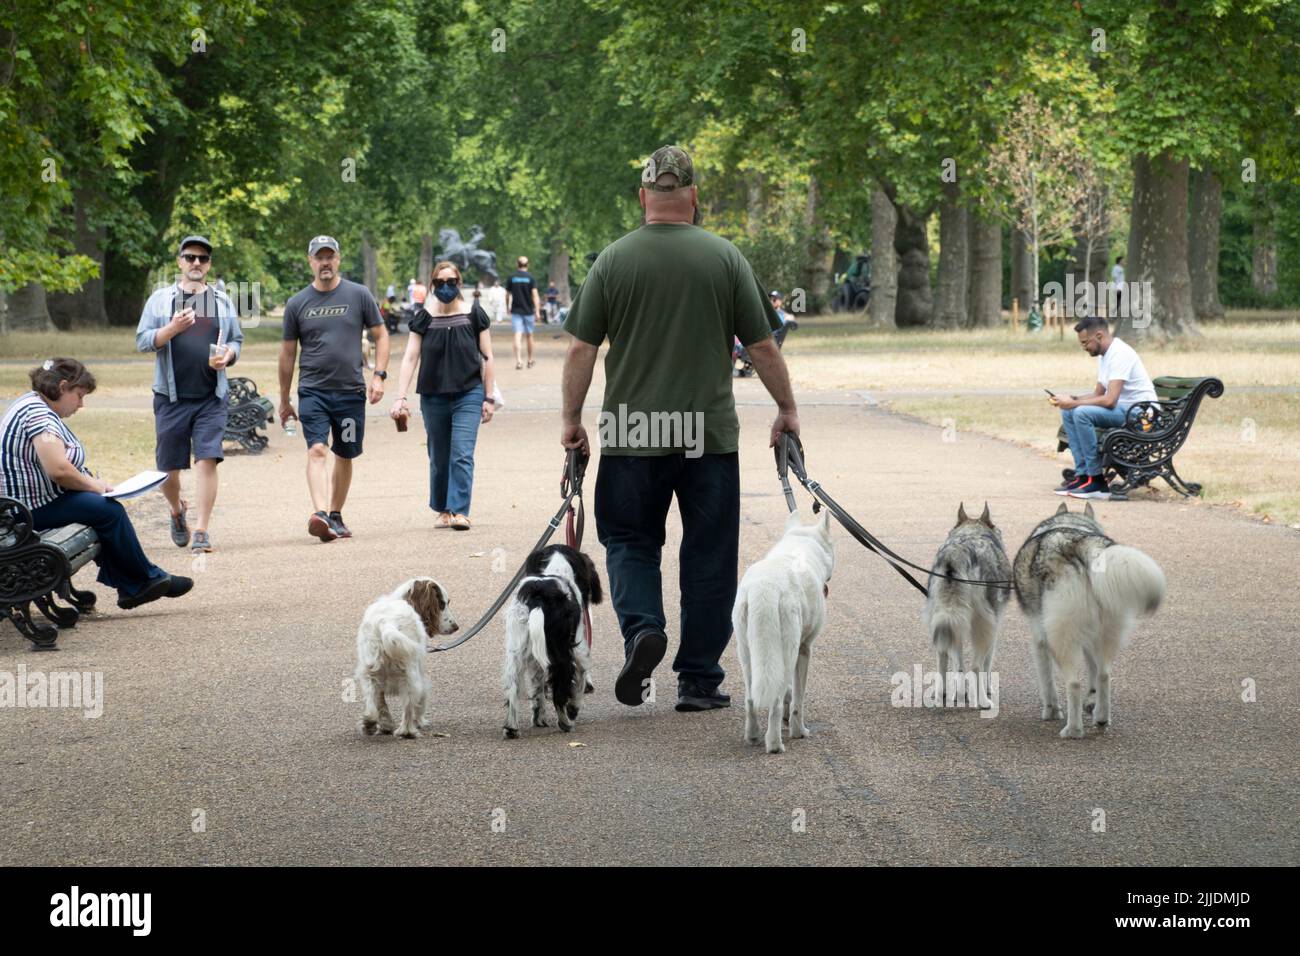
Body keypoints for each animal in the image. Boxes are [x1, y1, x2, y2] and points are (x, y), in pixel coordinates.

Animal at [356, 574, 457, 738]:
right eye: (442, 604)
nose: (456, 627)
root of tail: (386, 623)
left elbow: (381, 703)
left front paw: (385, 725)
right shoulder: (421, 673)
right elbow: (420, 700)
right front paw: (420, 721)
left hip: (369, 672)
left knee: (372, 702)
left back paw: (369, 723)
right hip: (410, 674)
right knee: (409, 705)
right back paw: (407, 731)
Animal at [733, 509, 832, 754]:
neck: (800, 544)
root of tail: (765, 589)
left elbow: (789, 692)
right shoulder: (804, 650)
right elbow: (798, 697)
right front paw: (798, 730)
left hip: (747, 653)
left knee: (751, 699)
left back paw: (753, 736)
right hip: (787, 650)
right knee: (775, 703)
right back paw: (775, 744)